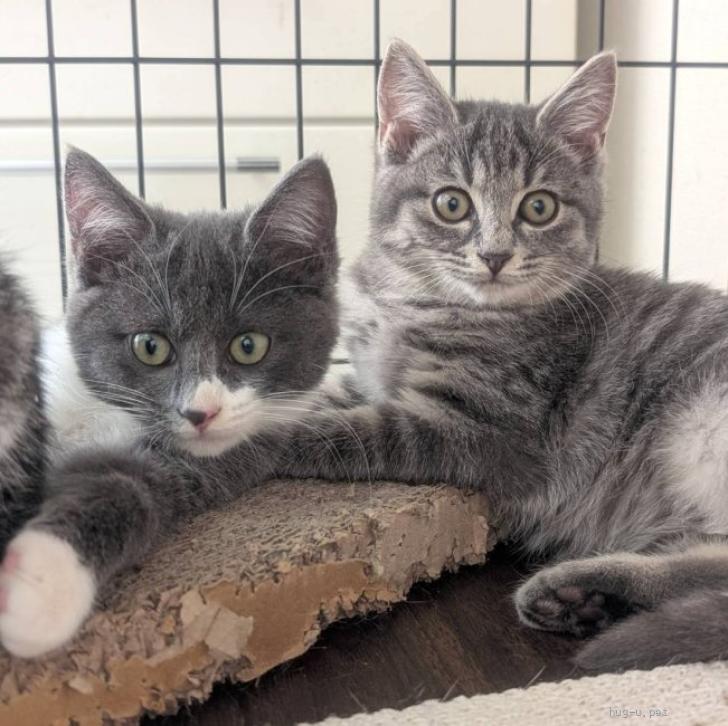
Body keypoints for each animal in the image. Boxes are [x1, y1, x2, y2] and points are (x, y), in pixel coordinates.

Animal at [0, 148, 339, 658]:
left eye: (249, 346)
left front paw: (38, 587)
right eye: (150, 346)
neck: (103, 410)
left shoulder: (202, 465)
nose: (201, 412)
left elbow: (127, 488)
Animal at [264, 40, 728, 672]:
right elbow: (319, 396)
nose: (495, 255)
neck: (419, 300)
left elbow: (349, 433)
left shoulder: (485, 427)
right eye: (451, 203)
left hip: (700, 425)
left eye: (539, 208)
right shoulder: (369, 377)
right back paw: (585, 595)